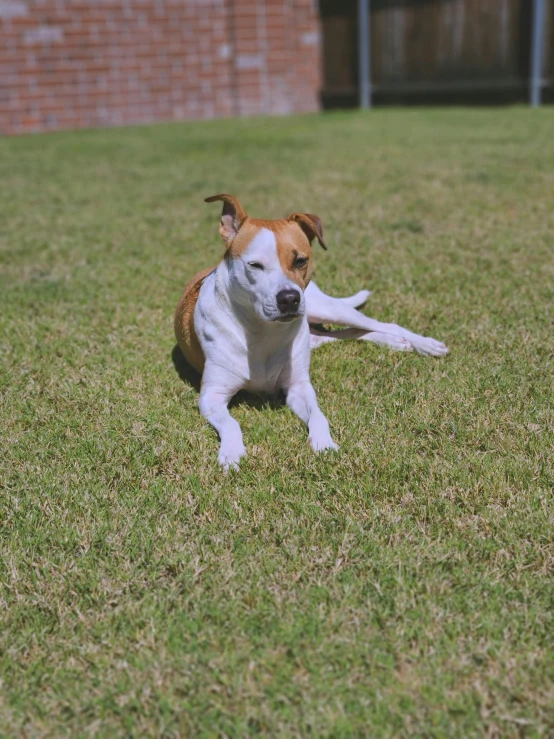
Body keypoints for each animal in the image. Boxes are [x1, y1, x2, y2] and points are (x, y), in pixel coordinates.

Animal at [175, 197, 446, 472]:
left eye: (300, 261)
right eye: (255, 265)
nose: (289, 299)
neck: (262, 330)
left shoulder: (299, 387)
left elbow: (318, 415)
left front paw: (324, 443)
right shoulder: (211, 396)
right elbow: (231, 423)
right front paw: (231, 453)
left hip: (324, 308)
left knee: (381, 324)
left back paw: (423, 344)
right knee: (349, 333)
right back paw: (397, 343)